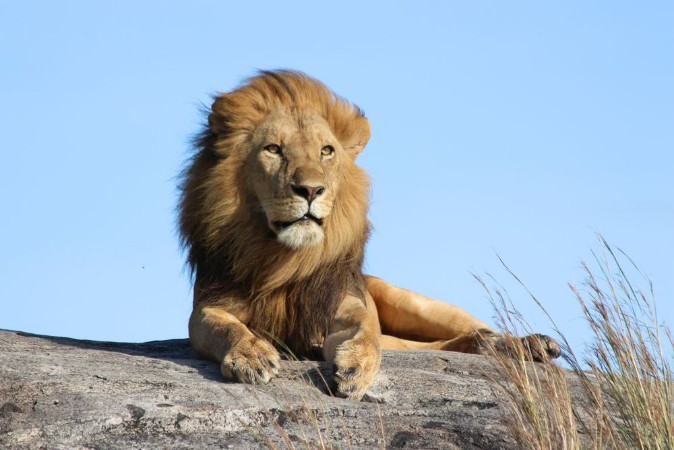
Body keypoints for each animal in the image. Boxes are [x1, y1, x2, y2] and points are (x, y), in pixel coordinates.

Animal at [179, 70, 561, 400]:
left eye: (326, 151)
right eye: (273, 149)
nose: (310, 189)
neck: (286, 259)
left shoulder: (345, 302)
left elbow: (365, 330)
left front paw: (356, 366)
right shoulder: (210, 306)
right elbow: (224, 327)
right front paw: (251, 356)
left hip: (411, 302)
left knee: (473, 329)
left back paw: (529, 344)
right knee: (452, 343)